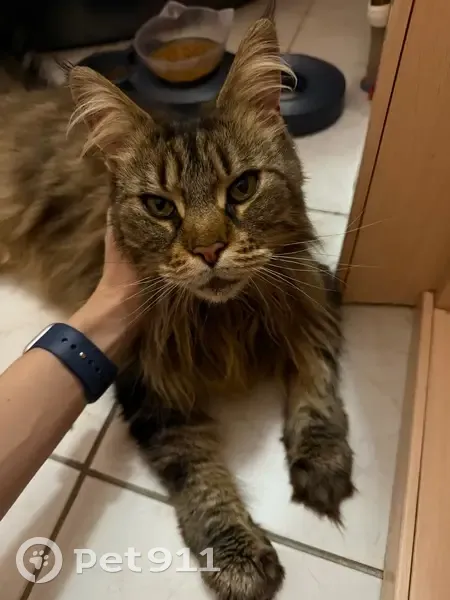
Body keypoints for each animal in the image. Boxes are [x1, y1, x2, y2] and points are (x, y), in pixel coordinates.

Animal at [0, 6, 354, 600]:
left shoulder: (312, 296)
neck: (224, 317)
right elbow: (199, 475)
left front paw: (322, 461)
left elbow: (316, 382)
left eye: (243, 188)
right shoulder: (148, 384)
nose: (209, 250)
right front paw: (238, 557)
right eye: (161, 207)